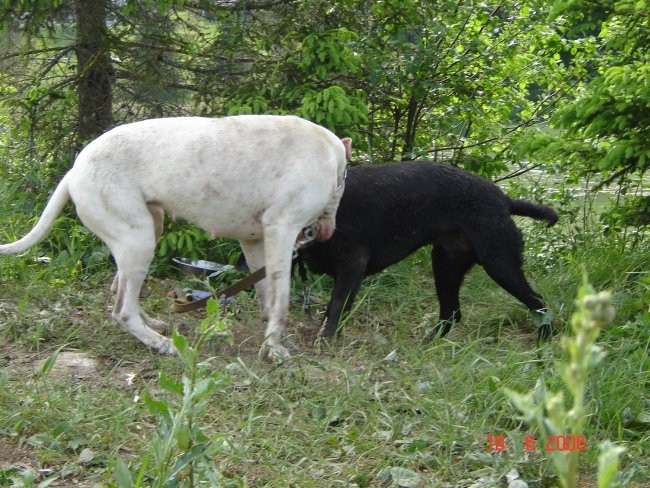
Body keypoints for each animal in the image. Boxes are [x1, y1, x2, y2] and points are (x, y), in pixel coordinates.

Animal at [0, 114, 350, 358]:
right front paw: (274, 348)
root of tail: (74, 170)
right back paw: (160, 343)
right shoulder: (281, 231)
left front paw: (271, 336)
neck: (330, 155)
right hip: (139, 239)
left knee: (120, 291)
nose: (329, 230)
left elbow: (267, 294)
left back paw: (151, 325)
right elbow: (282, 299)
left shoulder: (255, 242)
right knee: (121, 310)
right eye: (343, 183)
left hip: (143, 234)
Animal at [298, 160, 556, 340]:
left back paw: (544, 342)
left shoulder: (353, 263)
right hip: (446, 265)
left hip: (500, 264)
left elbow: (335, 310)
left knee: (539, 302)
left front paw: (326, 343)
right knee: (451, 313)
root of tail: (505, 200)